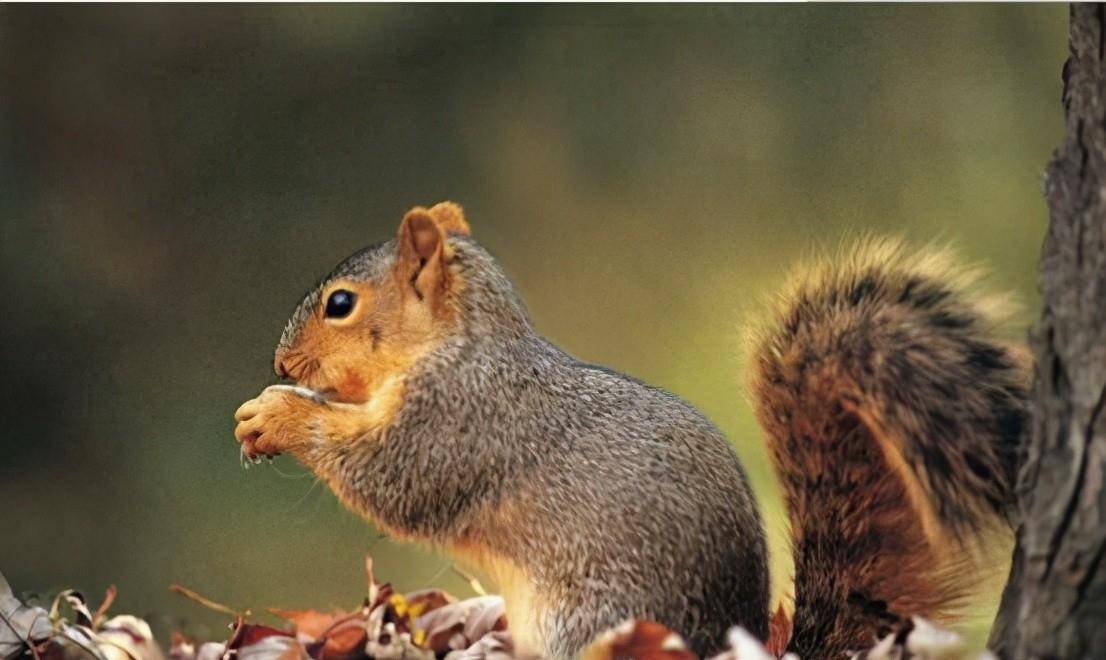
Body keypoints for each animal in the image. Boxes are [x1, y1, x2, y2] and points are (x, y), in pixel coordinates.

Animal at [233, 203, 1026, 654]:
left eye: (340, 303)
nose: (278, 360)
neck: (461, 344)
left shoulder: (458, 422)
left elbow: (390, 479)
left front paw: (276, 412)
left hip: (585, 623)